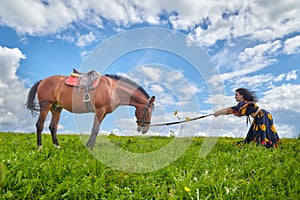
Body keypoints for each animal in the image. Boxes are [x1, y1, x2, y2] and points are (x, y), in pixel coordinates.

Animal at [26, 71, 155, 148]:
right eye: (148, 111)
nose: (145, 129)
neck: (112, 89)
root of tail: (42, 81)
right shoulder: (99, 110)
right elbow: (95, 129)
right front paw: (90, 147)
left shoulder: (103, 113)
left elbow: (95, 130)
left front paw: (89, 145)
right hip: (45, 107)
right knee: (39, 125)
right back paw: (39, 147)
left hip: (56, 109)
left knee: (53, 127)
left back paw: (57, 146)